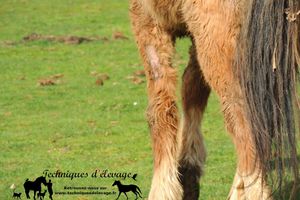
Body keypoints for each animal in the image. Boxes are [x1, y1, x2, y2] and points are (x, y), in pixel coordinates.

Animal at [130, 0, 300, 200]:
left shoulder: (146, 18)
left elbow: (160, 112)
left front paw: (163, 190)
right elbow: (192, 87)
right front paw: (188, 170)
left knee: (244, 122)